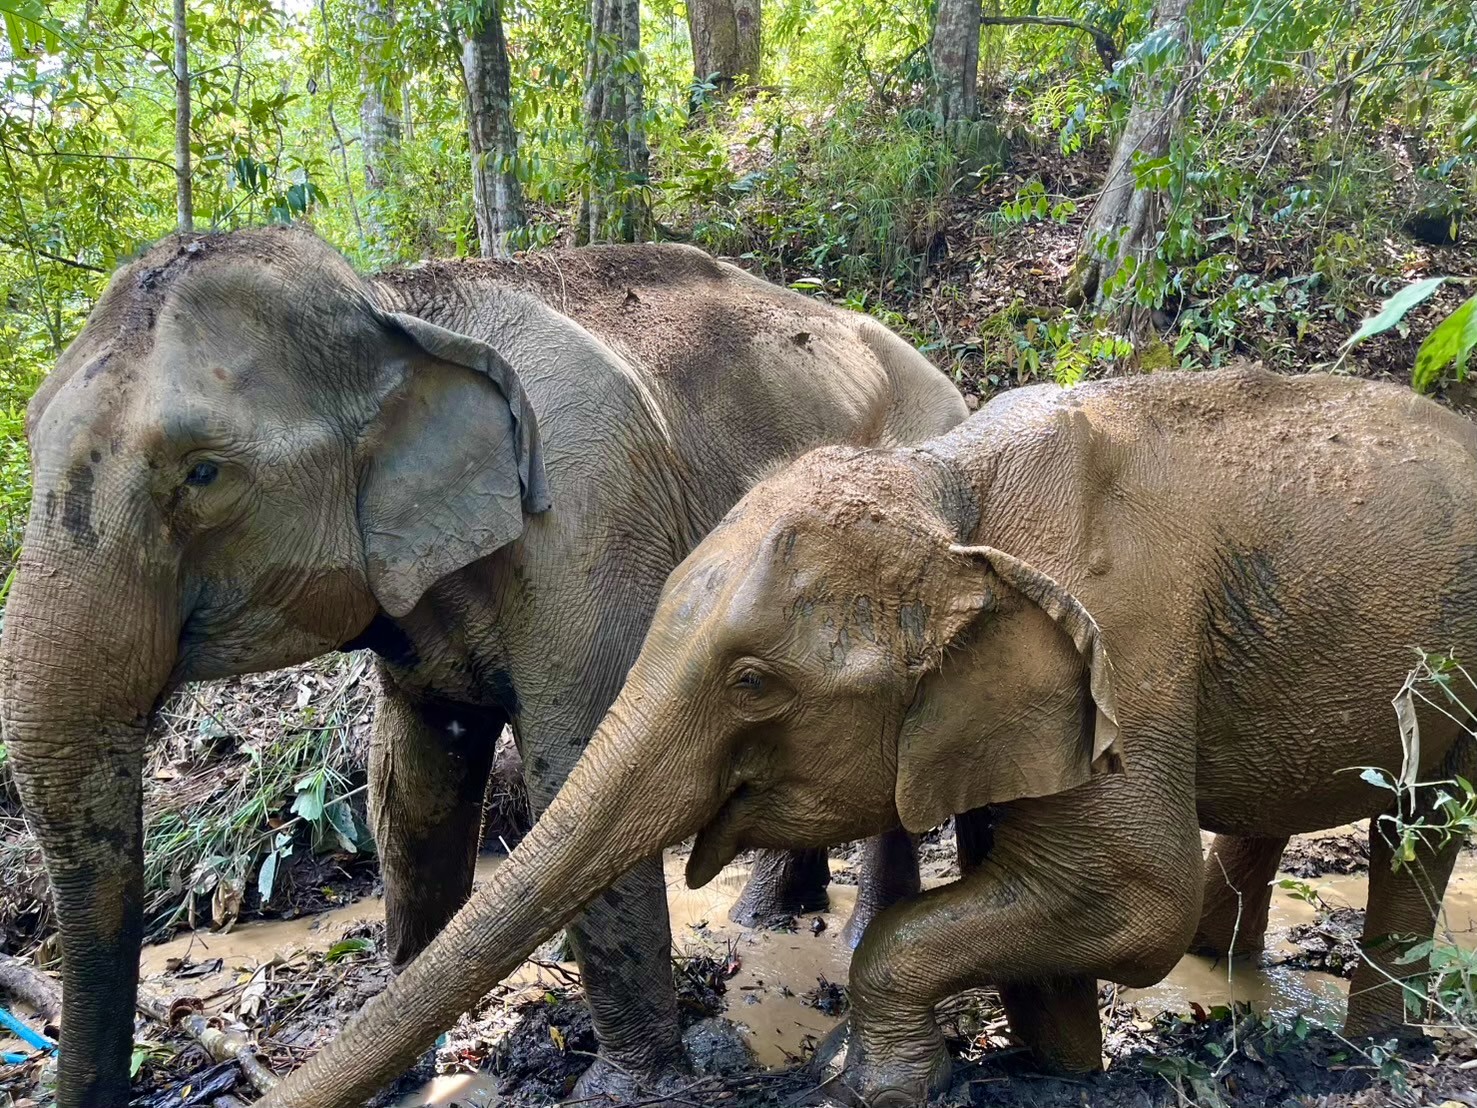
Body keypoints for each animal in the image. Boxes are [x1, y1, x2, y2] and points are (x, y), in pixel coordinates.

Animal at [0, 224, 968, 1108]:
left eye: (201, 474)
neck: (395, 304)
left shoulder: (586, 518)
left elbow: (572, 767)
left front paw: (625, 1092)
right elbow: (411, 783)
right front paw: (400, 1078)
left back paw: (850, 940)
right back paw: (765, 916)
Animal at [249, 366, 1477, 1108]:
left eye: (752, 682)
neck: (948, 482)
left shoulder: (1129, 658)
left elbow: (1133, 896)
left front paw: (872, 1083)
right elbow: (1029, 872)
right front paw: (1053, 1071)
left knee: (1417, 829)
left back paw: (1379, 1048)